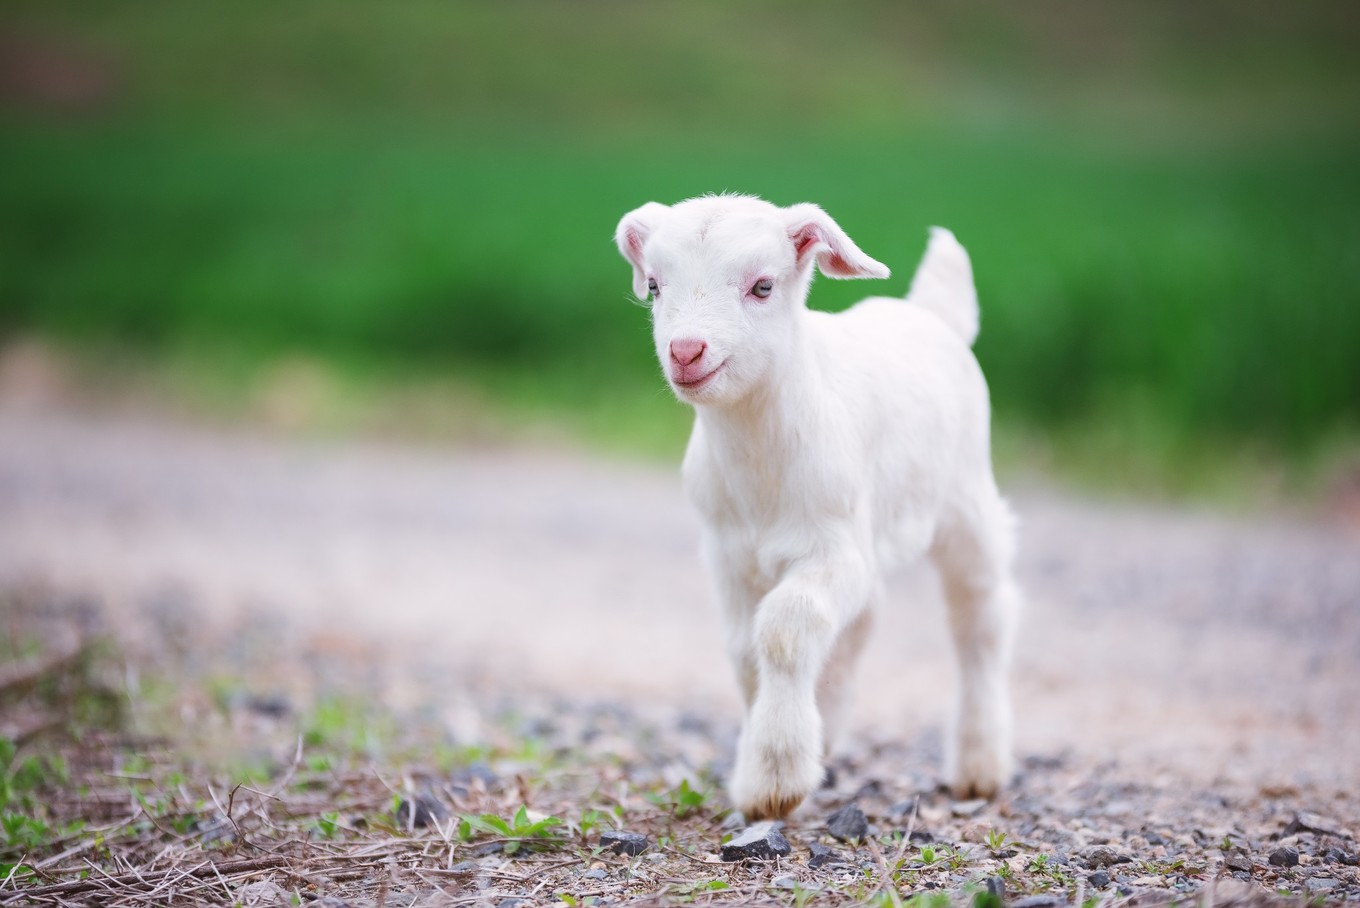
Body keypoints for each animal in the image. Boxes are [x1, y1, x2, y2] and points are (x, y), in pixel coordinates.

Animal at [617, 195, 1022, 821]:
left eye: (762, 286)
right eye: (656, 286)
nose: (686, 352)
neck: (759, 462)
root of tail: (931, 314)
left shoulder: (834, 547)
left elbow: (785, 628)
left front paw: (776, 779)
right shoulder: (729, 556)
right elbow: (744, 653)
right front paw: (774, 758)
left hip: (966, 502)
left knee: (981, 617)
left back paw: (979, 767)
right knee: (864, 619)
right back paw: (829, 725)